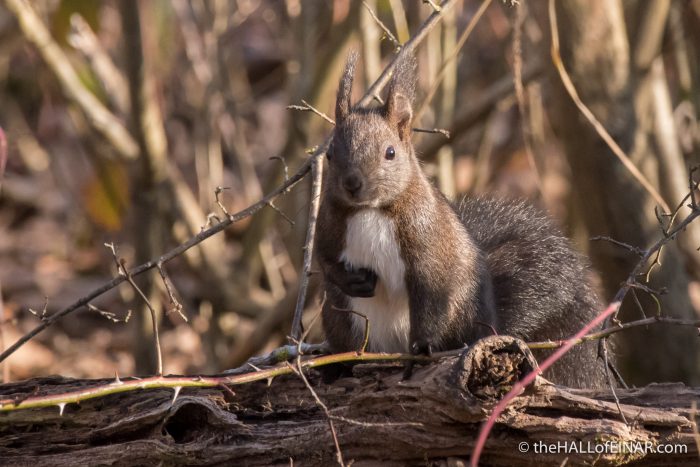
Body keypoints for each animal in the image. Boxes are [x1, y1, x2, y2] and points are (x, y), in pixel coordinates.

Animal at [316, 52, 607, 388]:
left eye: (390, 152)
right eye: (330, 153)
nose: (352, 183)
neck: (370, 210)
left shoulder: (429, 240)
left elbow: (432, 291)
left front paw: (422, 348)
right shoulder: (328, 227)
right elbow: (326, 261)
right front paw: (353, 279)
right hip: (338, 319)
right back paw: (339, 367)